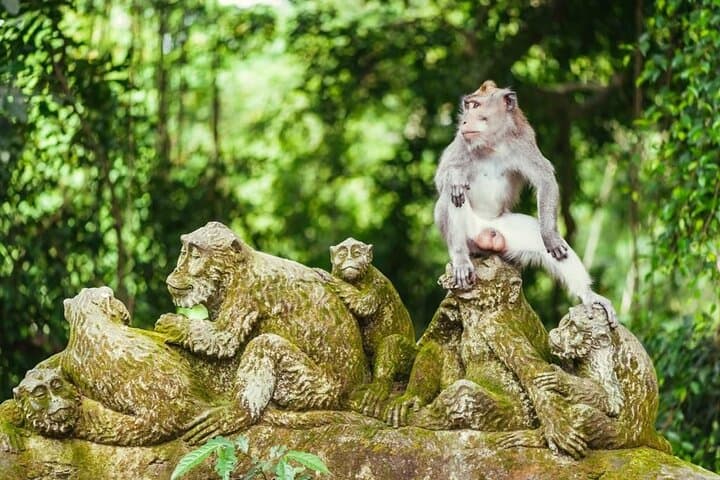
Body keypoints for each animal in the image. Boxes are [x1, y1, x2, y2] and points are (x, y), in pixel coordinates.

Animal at [433, 80, 617, 327]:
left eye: (476, 105)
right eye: (468, 105)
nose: (464, 120)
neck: (492, 144)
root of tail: (487, 231)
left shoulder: (523, 142)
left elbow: (545, 180)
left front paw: (550, 236)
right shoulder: (462, 142)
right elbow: (442, 180)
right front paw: (455, 176)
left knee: (546, 243)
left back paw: (588, 294)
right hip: (470, 234)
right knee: (452, 197)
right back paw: (461, 258)